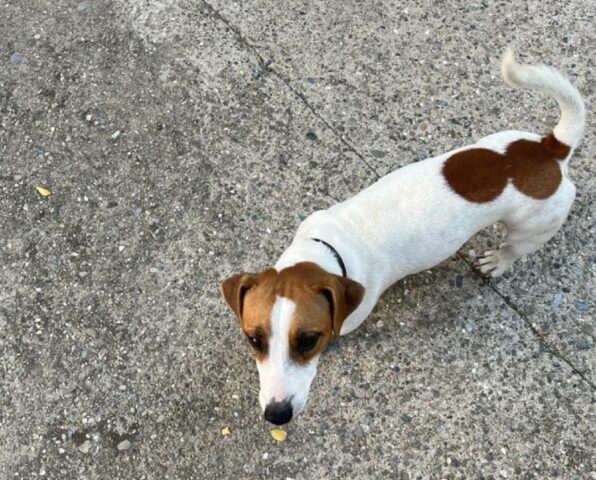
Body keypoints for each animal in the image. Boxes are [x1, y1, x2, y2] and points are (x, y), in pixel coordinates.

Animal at [220, 48, 588, 424]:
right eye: (254, 340)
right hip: (496, 140)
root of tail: (550, 151)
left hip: (532, 229)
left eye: (310, 340)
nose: (276, 415)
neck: (325, 252)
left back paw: (498, 261)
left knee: (515, 249)